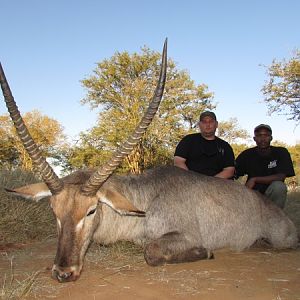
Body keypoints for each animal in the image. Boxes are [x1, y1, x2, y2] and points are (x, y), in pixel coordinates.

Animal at [0, 40, 296, 284]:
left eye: (91, 211)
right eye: (54, 211)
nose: (63, 273)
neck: (147, 199)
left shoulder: (183, 236)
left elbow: (151, 251)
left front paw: (207, 253)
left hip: (283, 240)